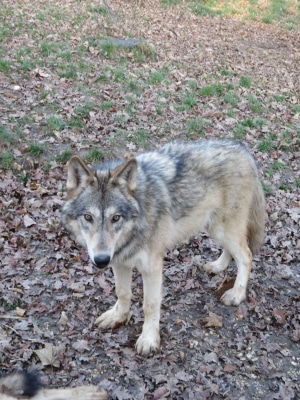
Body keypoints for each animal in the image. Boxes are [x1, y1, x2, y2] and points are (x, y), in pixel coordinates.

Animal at [61, 141, 264, 356]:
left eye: (115, 218)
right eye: (88, 217)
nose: (101, 260)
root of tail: (243, 149)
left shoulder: (151, 268)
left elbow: (149, 305)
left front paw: (149, 339)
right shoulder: (119, 261)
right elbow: (122, 292)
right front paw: (118, 317)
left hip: (223, 229)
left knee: (246, 255)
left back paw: (236, 295)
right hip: (216, 228)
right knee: (232, 252)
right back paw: (217, 266)